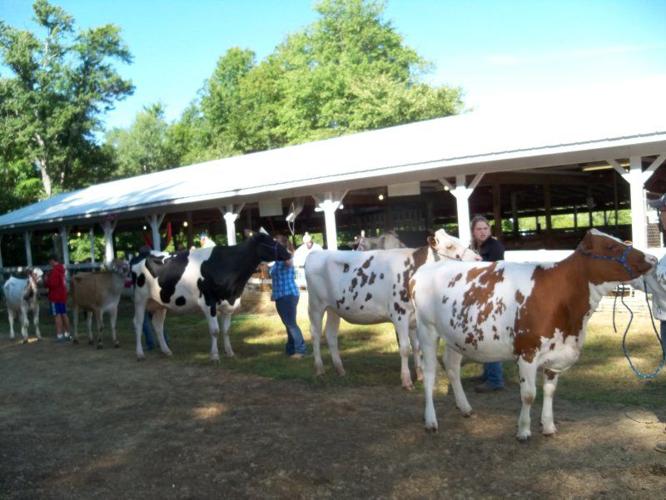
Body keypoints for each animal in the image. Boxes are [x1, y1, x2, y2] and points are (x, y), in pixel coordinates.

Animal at [304, 229, 480, 388]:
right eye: (450, 246)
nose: (478, 258)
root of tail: (315, 254)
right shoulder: (399, 315)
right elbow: (404, 348)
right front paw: (407, 381)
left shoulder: (413, 318)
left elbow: (416, 347)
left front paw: (420, 375)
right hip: (316, 305)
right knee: (315, 334)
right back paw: (319, 369)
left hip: (334, 308)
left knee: (331, 335)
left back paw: (340, 369)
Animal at [410, 229, 652, 440]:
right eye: (611, 246)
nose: (650, 258)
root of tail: (425, 270)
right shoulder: (527, 352)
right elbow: (528, 395)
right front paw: (524, 431)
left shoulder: (556, 355)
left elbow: (549, 391)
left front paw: (548, 426)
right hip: (426, 329)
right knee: (430, 372)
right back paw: (430, 421)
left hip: (455, 336)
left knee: (451, 366)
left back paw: (465, 408)